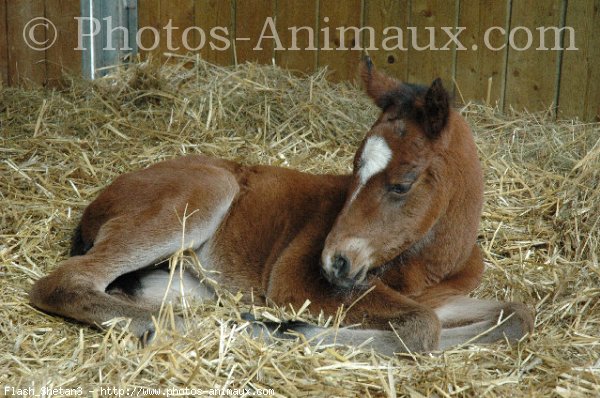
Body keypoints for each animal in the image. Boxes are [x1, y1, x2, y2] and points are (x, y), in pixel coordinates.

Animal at [29, 59, 536, 354]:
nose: (335, 261)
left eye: (402, 184)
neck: (426, 269)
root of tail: (100, 201)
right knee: (63, 282)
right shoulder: (298, 283)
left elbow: (515, 316)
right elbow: (421, 329)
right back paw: (200, 328)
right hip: (200, 196)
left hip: (178, 282)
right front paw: (287, 329)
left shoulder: (442, 298)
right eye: (353, 168)